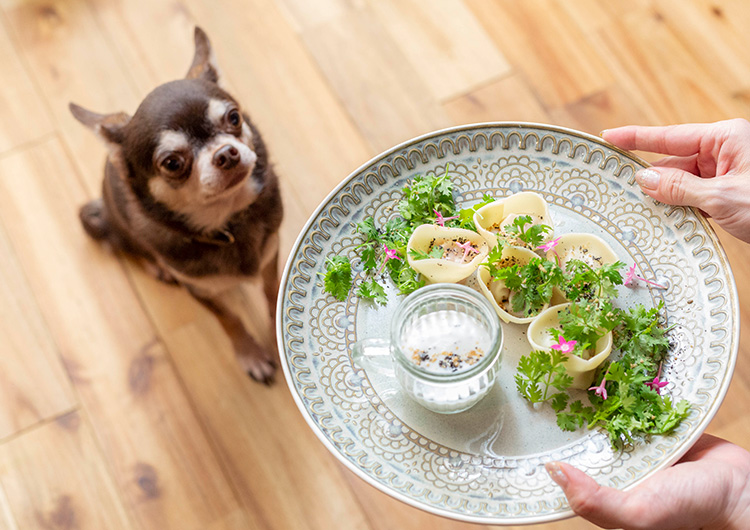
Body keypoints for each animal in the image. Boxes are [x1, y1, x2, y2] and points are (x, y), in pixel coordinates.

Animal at [72, 26, 282, 382]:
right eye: (172, 163)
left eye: (234, 118)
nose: (227, 154)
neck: (227, 224)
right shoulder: (199, 291)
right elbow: (229, 320)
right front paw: (250, 354)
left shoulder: (271, 256)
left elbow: (272, 293)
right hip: (123, 228)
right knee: (132, 247)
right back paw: (155, 265)